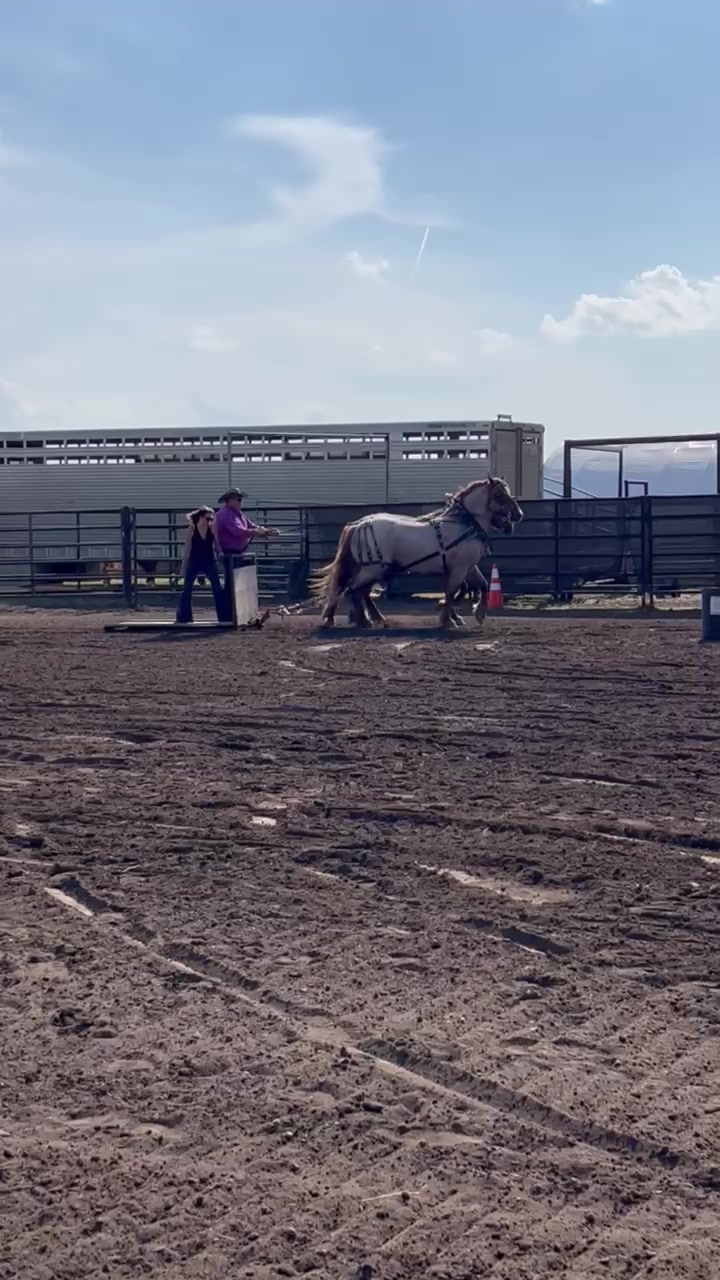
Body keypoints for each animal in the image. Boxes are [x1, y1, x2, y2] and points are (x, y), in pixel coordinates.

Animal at [312, 477, 522, 629]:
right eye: (499, 495)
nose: (518, 514)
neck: (464, 523)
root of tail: (359, 524)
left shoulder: (468, 567)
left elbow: (481, 585)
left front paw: (475, 614)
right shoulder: (459, 568)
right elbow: (452, 591)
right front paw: (447, 619)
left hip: (371, 569)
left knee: (357, 590)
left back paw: (369, 618)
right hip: (373, 568)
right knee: (354, 589)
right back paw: (364, 620)